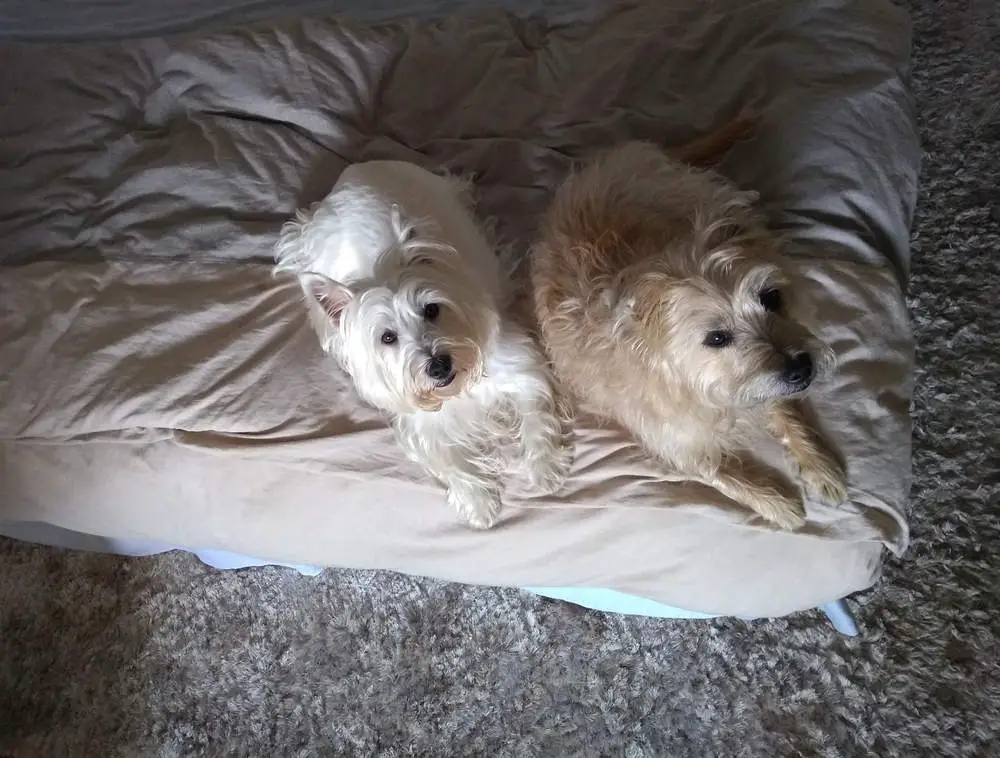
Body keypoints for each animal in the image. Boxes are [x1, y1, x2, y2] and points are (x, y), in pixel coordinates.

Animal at [274, 160, 572, 528]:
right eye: (387, 337)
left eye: (431, 309)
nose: (439, 365)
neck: (459, 388)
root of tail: (351, 175)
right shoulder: (421, 423)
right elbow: (448, 462)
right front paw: (477, 501)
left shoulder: (520, 367)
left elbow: (536, 417)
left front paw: (545, 468)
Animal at [532, 120, 844, 536]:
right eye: (717, 338)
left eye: (771, 297)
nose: (801, 369)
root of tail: (614, 157)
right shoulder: (676, 443)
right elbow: (723, 474)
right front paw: (776, 502)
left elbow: (787, 411)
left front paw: (818, 464)